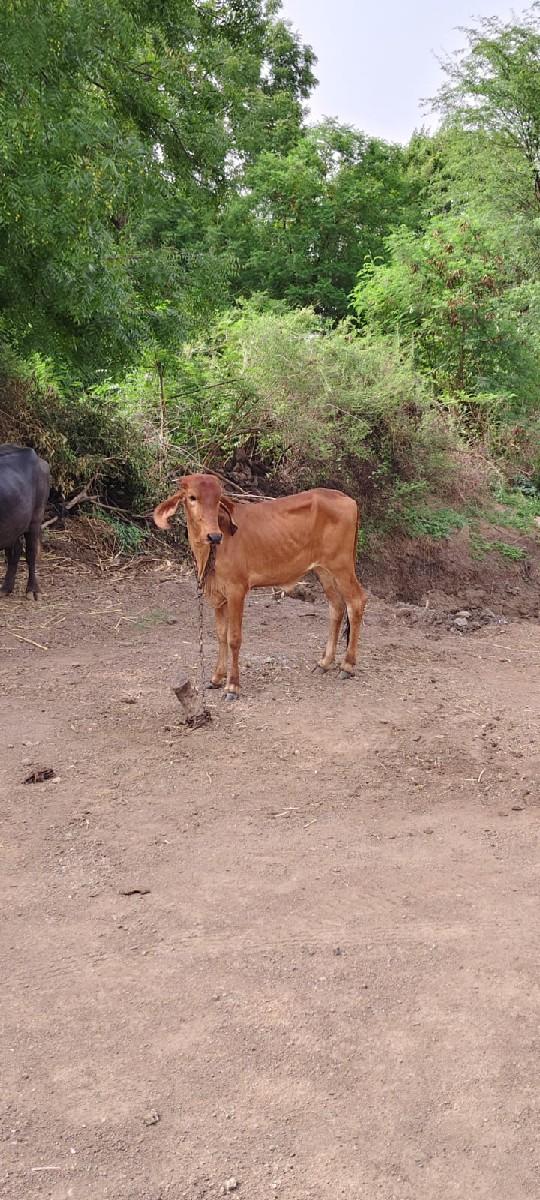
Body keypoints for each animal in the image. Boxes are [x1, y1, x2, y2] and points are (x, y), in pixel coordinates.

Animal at [0, 445, 51, 599]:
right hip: (12, 524)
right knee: (14, 551)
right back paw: (6, 588)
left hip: (36, 518)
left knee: (31, 553)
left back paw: (33, 590)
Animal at [154, 473, 367, 700]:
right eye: (192, 497)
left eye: (218, 499)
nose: (214, 536)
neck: (208, 552)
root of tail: (348, 499)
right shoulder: (217, 596)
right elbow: (220, 635)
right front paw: (217, 678)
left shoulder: (237, 590)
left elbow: (233, 638)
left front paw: (232, 686)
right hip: (323, 570)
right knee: (337, 606)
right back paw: (325, 663)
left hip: (341, 565)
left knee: (356, 602)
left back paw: (347, 665)